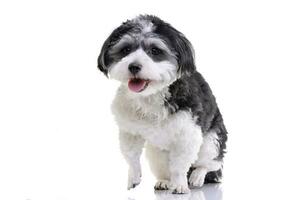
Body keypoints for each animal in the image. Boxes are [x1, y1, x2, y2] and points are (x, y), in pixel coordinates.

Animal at [98, 14, 227, 194]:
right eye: (126, 50)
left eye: (155, 51)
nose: (134, 66)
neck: (150, 96)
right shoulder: (130, 131)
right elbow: (131, 156)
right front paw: (133, 177)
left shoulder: (188, 135)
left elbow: (179, 166)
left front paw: (180, 185)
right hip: (156, 153)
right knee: (165, 169)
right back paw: (165, 181)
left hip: (211, 141)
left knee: (210, 163)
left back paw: (196, 177)